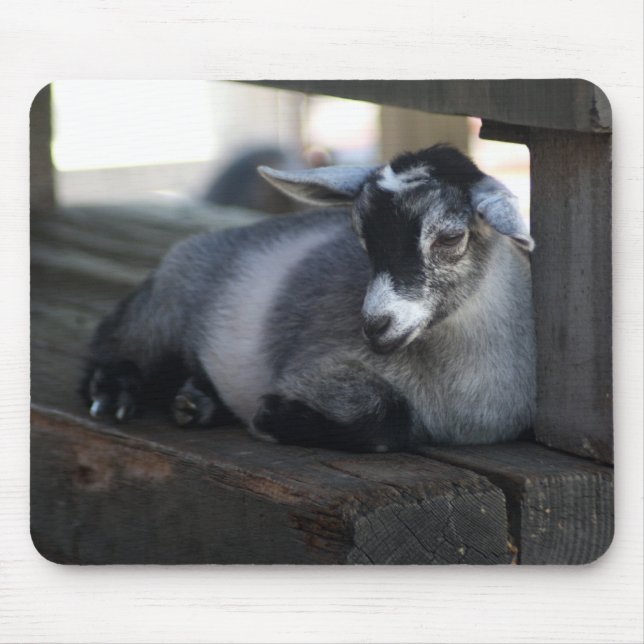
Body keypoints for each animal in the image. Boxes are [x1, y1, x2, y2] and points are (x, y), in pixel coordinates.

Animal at [81, 145, 536, 452]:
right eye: (360, 234)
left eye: (451, 237)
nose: (376, 325)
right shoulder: (317, 365)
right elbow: (388, 419)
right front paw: (274, 417)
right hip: (165, 303)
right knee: (116, 340)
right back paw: (116, 393)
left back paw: (196, 402)